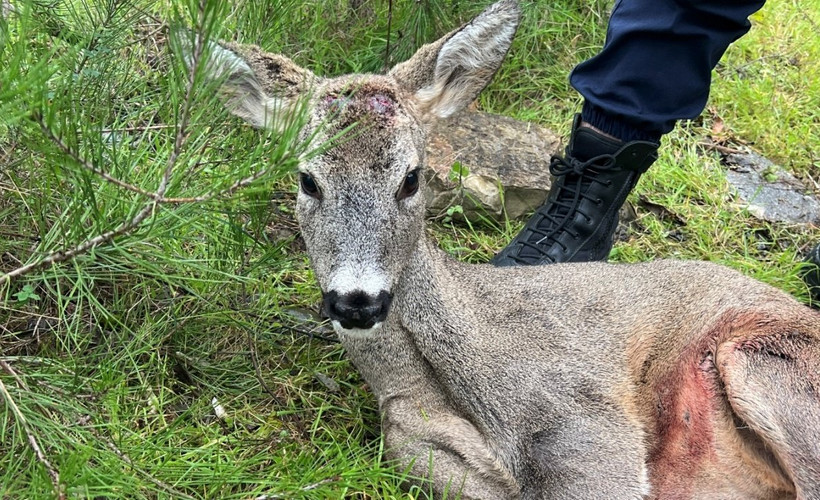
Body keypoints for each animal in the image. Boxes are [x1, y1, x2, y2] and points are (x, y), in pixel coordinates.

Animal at [187, 1, 820, 498]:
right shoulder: (417, 446)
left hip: (768, 360)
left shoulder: (582, 416)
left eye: (411, 179)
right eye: (307, 179)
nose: (356, 301)